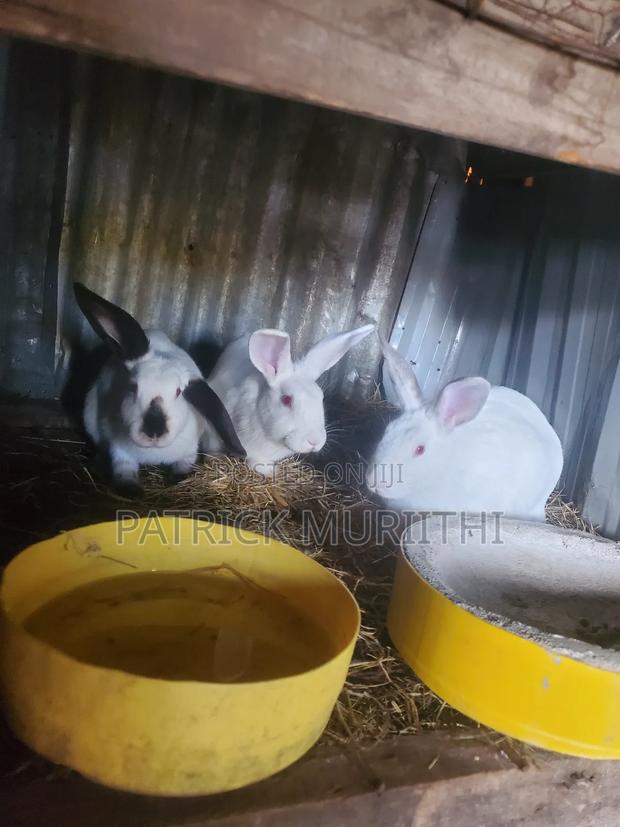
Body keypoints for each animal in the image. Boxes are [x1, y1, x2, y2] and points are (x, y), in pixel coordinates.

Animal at [74, 283, 245, 496]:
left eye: (179, 392)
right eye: (133, 387)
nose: (154, 431)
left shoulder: (190, 450)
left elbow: (184, 465)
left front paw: (177, 480)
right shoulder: (119, 450)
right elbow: (124, 468)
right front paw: (131, 490)